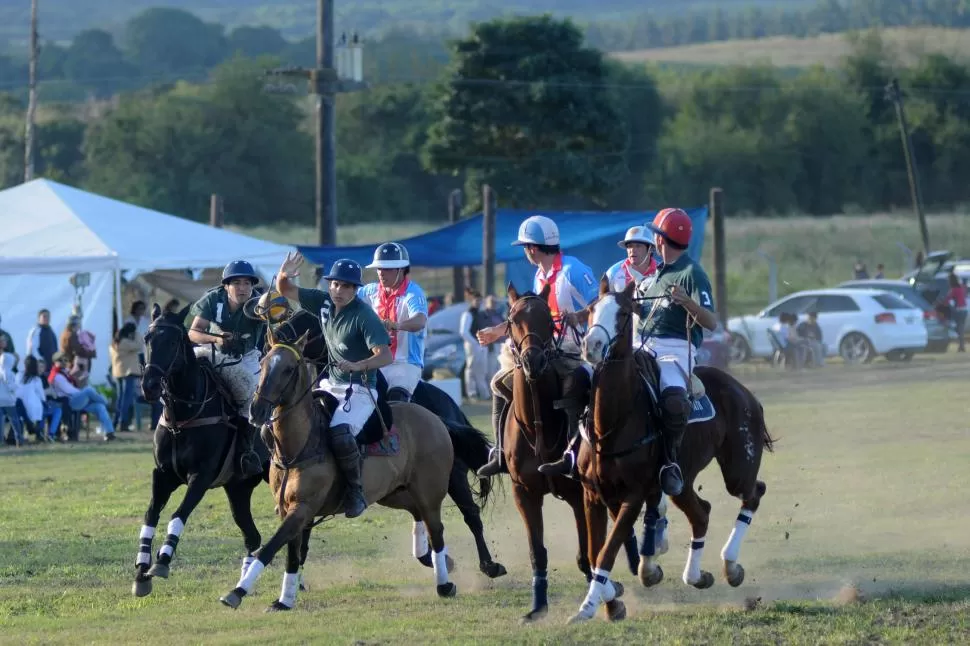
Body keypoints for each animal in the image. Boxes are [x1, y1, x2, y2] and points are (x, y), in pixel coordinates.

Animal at [129, 306, 272, 600]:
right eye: (147, 338)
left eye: (173, 341)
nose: (149, 386)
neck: (182, 417)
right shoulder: (163, 475)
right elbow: (151, 515)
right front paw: (141, 573)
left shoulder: (201, 476)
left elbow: (178, 514)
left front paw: (162, 562)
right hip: (238, 489)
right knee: (252, 536)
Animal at [216, 332, 466, 616]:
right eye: (263, 363)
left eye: (289, 369)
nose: (256, 411)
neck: (299, 445)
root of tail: (435, 418)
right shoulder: (289, 510)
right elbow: (292, 554)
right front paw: (284, 600)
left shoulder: (303, 507)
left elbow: (269, 548)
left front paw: (236, 592)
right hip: (391, 492)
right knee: (416, 513)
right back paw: (440, 561)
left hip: (429, 491)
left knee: (436, 529)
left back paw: (444, 584)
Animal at [268, 312, 502, 580]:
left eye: (306, 319)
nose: (275, 334)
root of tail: (450, 406)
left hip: (453, 474)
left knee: (470, 514)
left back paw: (487, 564)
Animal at [496, 286, 624, 624]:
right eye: (513, 319)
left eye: (547, 319)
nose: (533, 360)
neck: (538, 425)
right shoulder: (524, 493)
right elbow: (537, 552)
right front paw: (537, 607)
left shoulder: (580, 494)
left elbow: (587, 554)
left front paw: (609, 596)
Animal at [568, 280, 772, 624]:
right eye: (591, 309)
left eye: (623, 312)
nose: (591, 345)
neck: (610, 424)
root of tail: (743, 391)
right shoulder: (592, 494)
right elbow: (598, 552)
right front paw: (611, 600)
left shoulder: (634, 494)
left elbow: (608, 550)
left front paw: (587, 607)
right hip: (682, 479)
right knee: (701, 512)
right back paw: (696, 575)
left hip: (738, 467)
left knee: (753, 492)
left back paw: (730, 565)